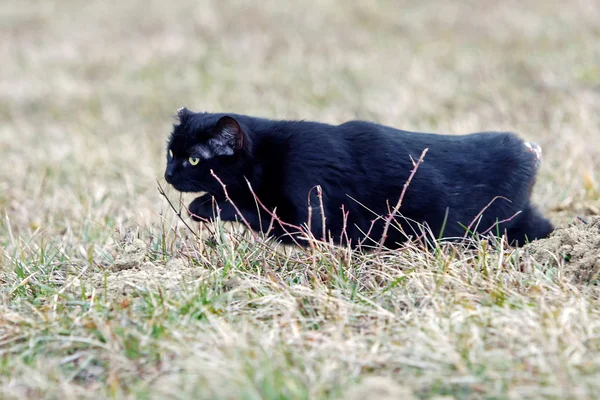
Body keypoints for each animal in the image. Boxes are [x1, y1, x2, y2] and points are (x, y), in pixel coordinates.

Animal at [163, 108, 552, 248]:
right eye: (170, 153)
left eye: (193, 159)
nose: (167, 174)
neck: (270, 153)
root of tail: (528, 148)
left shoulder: (307, 217)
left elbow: (253, 209)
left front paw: (205, 206)